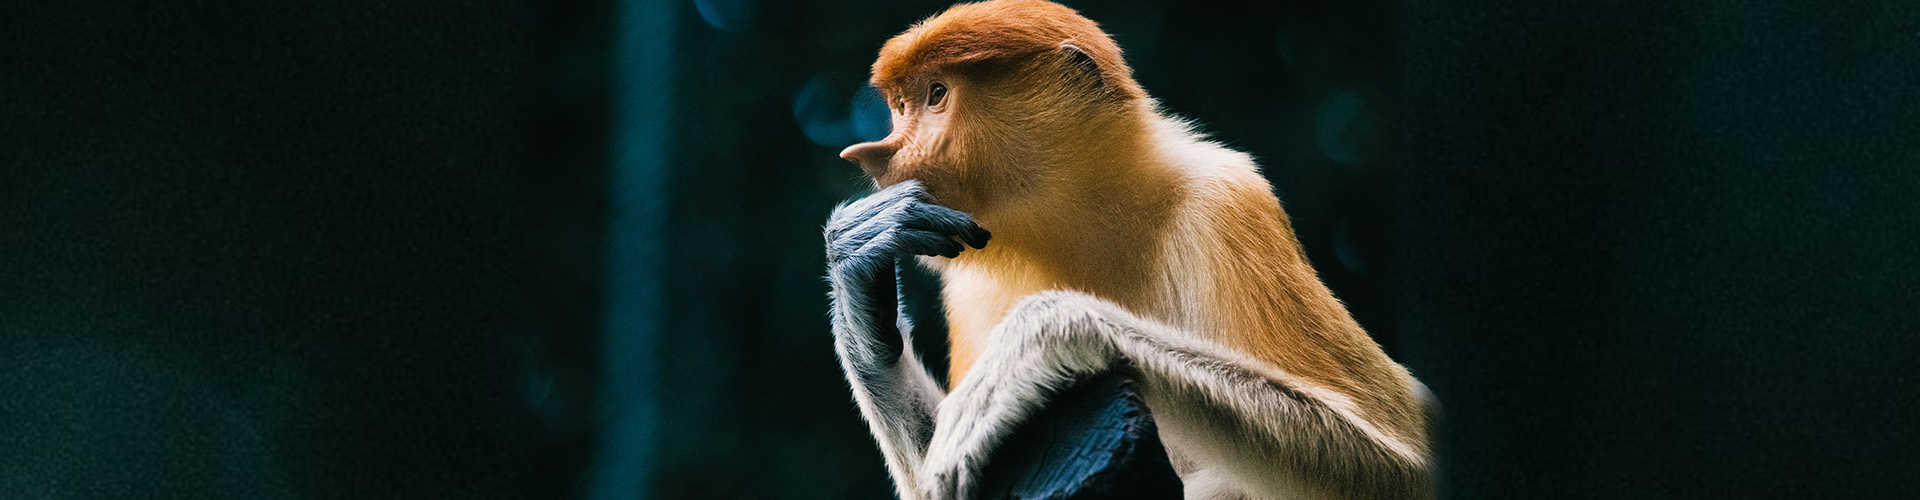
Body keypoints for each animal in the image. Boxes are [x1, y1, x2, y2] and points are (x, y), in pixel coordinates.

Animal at [822, 1, 1433, 499]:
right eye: (900, 106)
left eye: (936, 95)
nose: (879, 154)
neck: (1085, 220)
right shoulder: (967, 273)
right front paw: (859, 255)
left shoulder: (1227, 201)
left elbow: (1404, 466)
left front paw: (1036, 341)